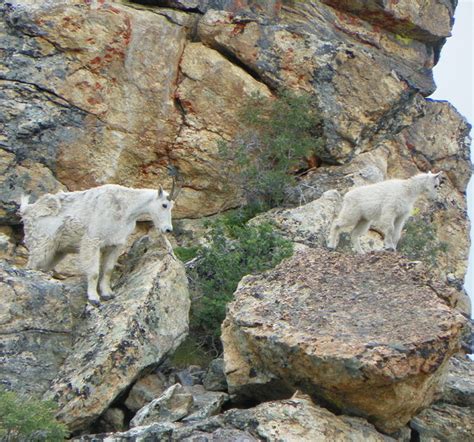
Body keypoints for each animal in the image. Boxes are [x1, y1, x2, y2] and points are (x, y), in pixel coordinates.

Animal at [19, 180, 181, 308]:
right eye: (164, 205)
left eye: (172, 206)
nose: (168, 229)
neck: (126, 207)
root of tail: (27, 210)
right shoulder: (93, 241)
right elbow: (94, 272)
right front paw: (94, 298)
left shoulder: (115, 244)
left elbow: (108, 270)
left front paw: (107, 293)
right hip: (40, 245)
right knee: (31, 266)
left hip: (57, 251)